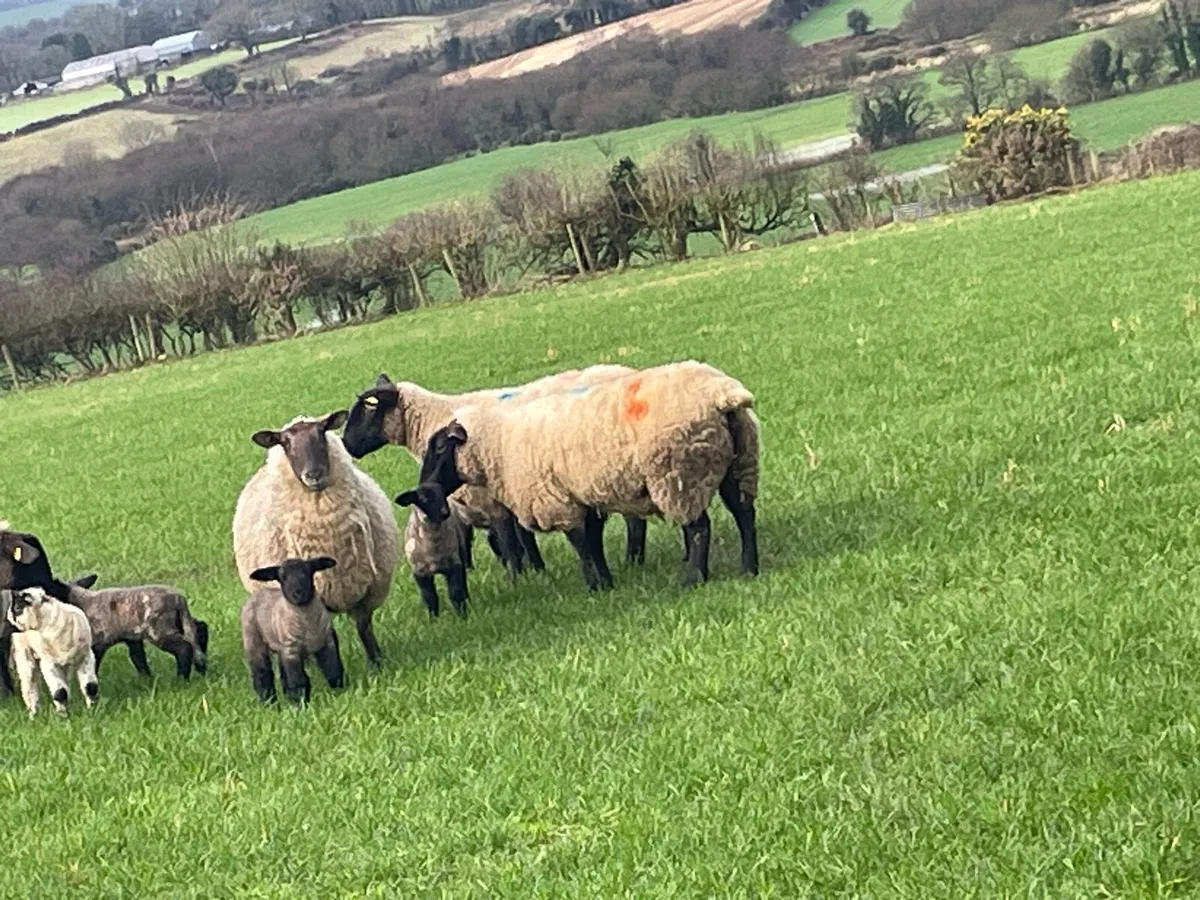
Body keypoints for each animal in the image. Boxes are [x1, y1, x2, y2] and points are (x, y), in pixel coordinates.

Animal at [6, 587, 99, 718]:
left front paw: (92, 711)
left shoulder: (86, 657)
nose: (8, 614)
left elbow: (90, 688)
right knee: (29, 684)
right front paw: (62, 716)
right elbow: (60, 692)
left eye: (17, 607)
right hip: (24, 652)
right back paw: (34, 714)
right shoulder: (49, 663)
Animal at [232, 410, 398, 667]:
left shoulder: (366, 590)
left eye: (322, 432)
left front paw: (377, 663)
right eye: (285, 442)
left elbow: (364, 628)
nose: (314, 474)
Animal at [241, 556, 345, 704]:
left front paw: (340, 693)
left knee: (283, 676)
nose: (298, 593)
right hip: (254, 641)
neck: (307, 624)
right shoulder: (292, 651)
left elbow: (333, 670)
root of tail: (257, 594)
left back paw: (287, 699)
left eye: (308, 572)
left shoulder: (327, 641)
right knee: (262, 675)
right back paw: (269, 702)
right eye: (282, 578)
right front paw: (301, 703)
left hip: (281, 648)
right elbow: (298, 680)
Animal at [341, 366, 654, 575]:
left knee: (634, 520)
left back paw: (632, 561)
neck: (435, 417)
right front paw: (535, 570)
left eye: (369, 409)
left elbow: (509, 542)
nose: (346, 444)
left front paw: (518, 578)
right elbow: (511, 539)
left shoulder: (491, 499)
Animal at [417, 361, 760, 591]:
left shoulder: (557, 500)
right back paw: (749, 568)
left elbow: (580, 545)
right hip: (739, 461)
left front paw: (593, 586)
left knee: (699, 527)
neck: (498, 442)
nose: (423, 488)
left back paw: (694, 578)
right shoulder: (582, 496)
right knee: (744, 513)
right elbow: (593, 543)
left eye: (439, 448)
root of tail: (722, 395)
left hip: (679, 473)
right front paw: (606, 582)